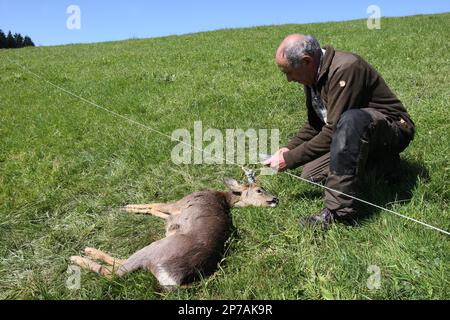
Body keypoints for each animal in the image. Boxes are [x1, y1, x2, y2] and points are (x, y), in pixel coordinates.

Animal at [70, 176, 278, 288]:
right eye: (260, 190)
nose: (276, 198)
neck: (222, 197)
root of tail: (176, 280)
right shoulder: (174, 213)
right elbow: (157, 212)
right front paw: (131, 208)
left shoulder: (178, 204)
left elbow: (154, 205)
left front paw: (128, 207)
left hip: (155, 249)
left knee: (113, 272)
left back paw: (81, 255)